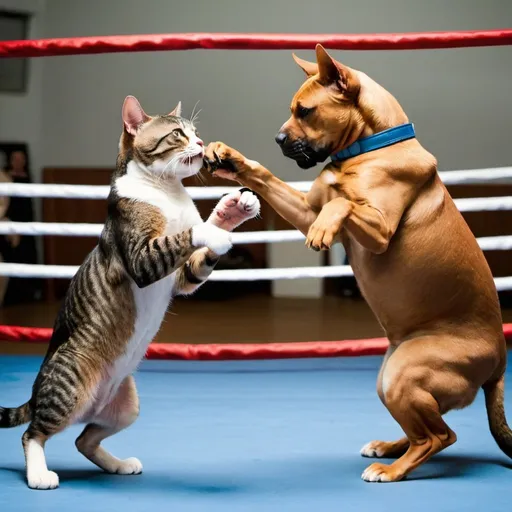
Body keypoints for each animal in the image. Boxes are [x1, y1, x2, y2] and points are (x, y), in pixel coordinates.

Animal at [0, 94, 260, 490]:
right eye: (177, 134)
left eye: (195, 132)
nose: (201, 144)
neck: (167, 190)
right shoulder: (142, 259)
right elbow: (184, 236)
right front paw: (213, 231)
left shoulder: (185, 275)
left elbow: (199, 243)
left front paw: (232, 208)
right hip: (69, 388)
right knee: (33, 434)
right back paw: (40, 474)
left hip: (126, 406)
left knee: (83, 438)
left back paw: (118, 463)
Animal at [204, 45, 512, 484]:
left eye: (306, 111)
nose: (278, 139)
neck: (369, 149)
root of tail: (498, 365)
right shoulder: (304, 210)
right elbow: (268, 178)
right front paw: (230, 158)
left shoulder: (378, 230)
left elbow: (342, 205)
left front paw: (326, 227)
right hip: (392, 382)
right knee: (430, 431)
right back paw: (390, 447)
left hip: (403, 375)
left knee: (439, 437)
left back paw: (392, 469)